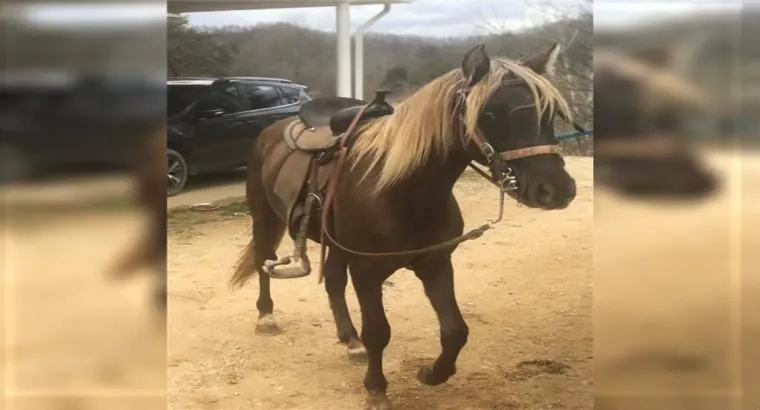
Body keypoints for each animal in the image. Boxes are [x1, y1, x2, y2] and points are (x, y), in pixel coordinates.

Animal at [231, 43, 577, 409]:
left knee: (334, 280)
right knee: (263, 261)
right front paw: (376, 388)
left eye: (550, 113)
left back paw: (350, 340)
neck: (401, 189)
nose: (556, 189)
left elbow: (455, 331)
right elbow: (378, 332)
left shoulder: (435, 263)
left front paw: (431, 374)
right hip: (265, 218)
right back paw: (266, 317)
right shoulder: (367, 272)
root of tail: (271, 129)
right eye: (489, 115)